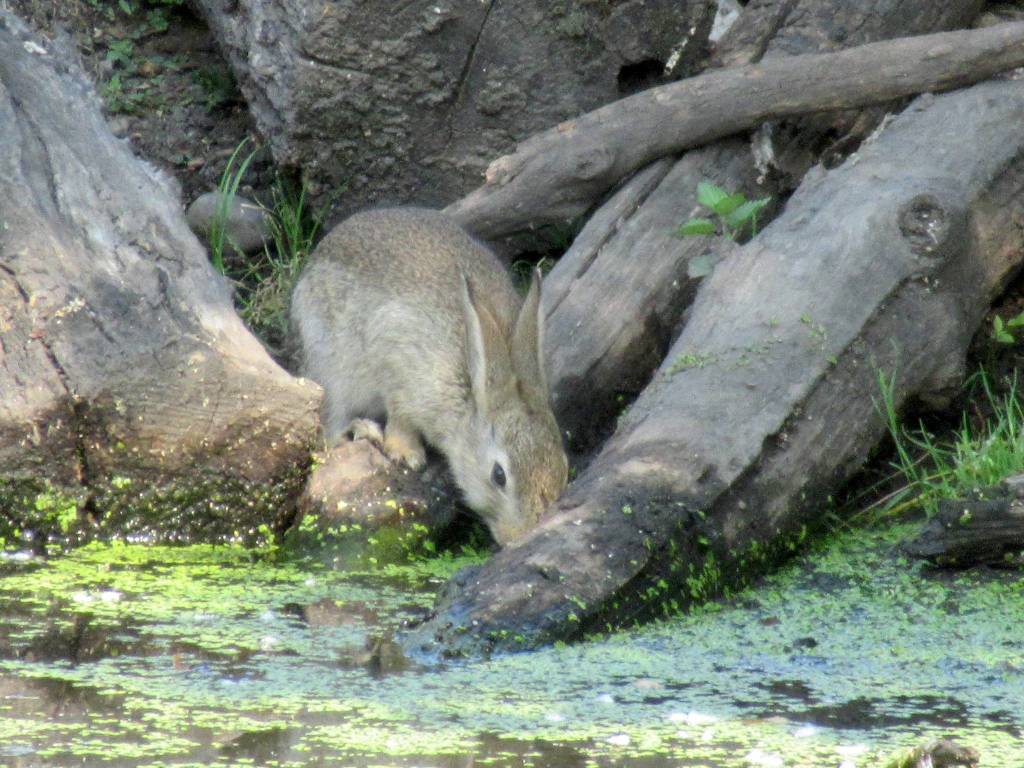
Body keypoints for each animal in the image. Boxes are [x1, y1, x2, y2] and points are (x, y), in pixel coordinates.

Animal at [288, 205, 569, 548]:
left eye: (563, 467)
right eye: (499, 476)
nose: (520, 536)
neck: (473, 389)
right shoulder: (398, 361)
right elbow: (400, 416)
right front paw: (406, 454)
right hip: (329, 365)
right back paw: (362, 432)